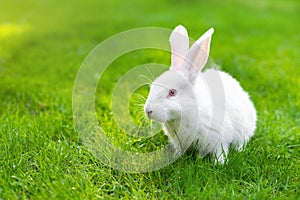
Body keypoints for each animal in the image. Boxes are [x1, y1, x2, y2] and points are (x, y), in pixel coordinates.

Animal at [144, 25, 256, 163]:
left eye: (172, 92)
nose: (148, 111)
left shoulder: (219, 138)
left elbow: (220, 151)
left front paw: (219, 163)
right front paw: (175, 157)